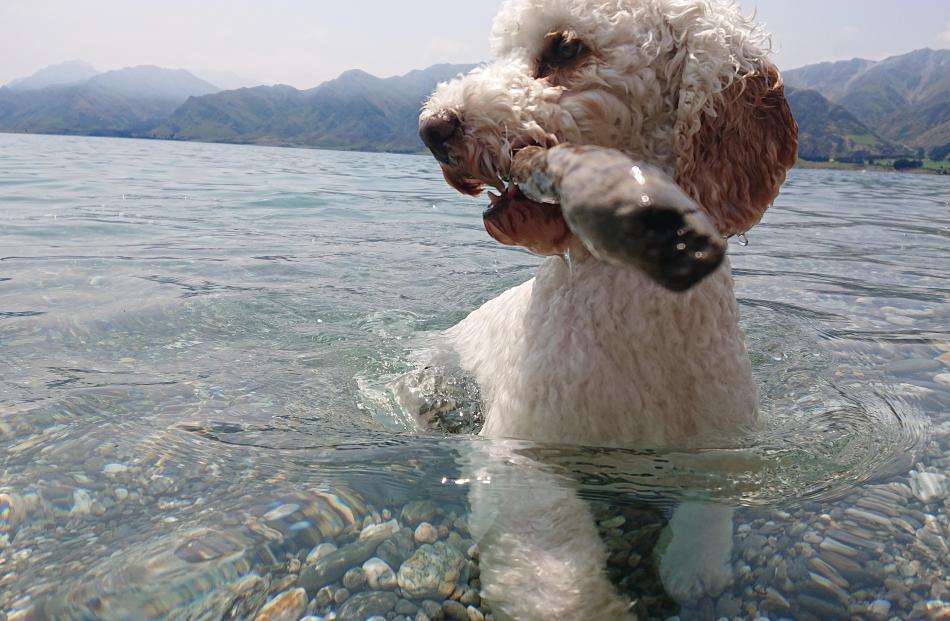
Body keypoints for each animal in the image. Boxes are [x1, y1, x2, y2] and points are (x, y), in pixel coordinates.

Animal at [420, 1, 800, 616]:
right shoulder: (519, 458)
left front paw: (691, 568)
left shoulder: (721, 447)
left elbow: (708, 509)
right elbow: (553, 575)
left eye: (564, 47)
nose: (433, 128)